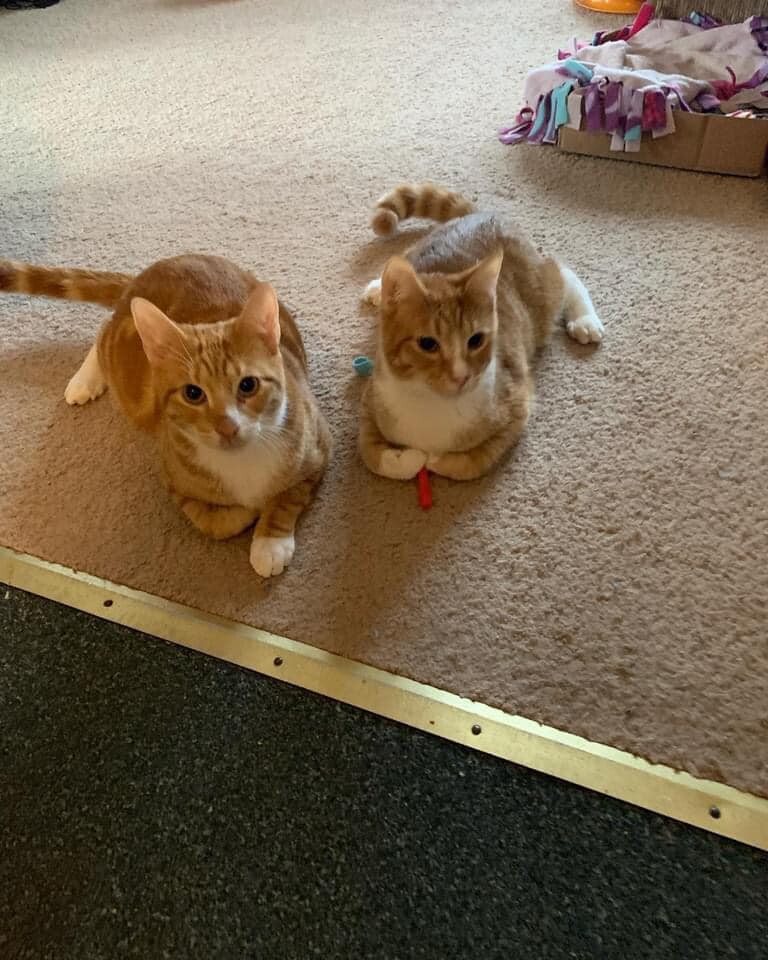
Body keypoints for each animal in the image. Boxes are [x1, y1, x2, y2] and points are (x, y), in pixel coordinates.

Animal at [0, 251, 330, 576]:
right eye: (193, 393)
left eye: (248, 385)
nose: (227, 426)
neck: (241, 461)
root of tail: (149, 272)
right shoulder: (173, 482)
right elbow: (216, 522)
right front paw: (249, 512)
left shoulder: (318, 450)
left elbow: (287, 498)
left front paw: (270, 543)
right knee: (103, 332)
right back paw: (85, 380)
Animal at [356, 182, 604, 480]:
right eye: (427, 344)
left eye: (475, 340)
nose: (461, 376)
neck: (433, 405)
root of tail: (482, 214)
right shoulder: (369, 406)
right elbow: (373, 456)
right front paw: (410, 458)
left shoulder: (517, 407)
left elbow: (471, 462)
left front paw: (436, 459)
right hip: (413, 252)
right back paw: (377, 289)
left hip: (542, 296)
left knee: (563, 273)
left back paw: (585, 320)